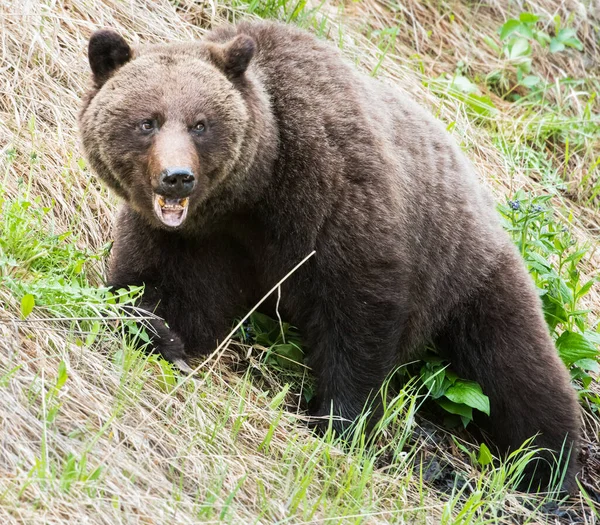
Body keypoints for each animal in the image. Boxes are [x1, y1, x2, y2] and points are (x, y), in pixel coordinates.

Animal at [79, 19, 580, 488]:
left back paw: (550, 468)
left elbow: (358, 308)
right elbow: (162, 289)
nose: (177, 177)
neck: (253, 192)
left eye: (201, 124)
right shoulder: (198, 240)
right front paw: (157, 335)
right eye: (148, 121)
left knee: (517, 369)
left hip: (468, 268)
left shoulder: (332, 192)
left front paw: (337, 419)